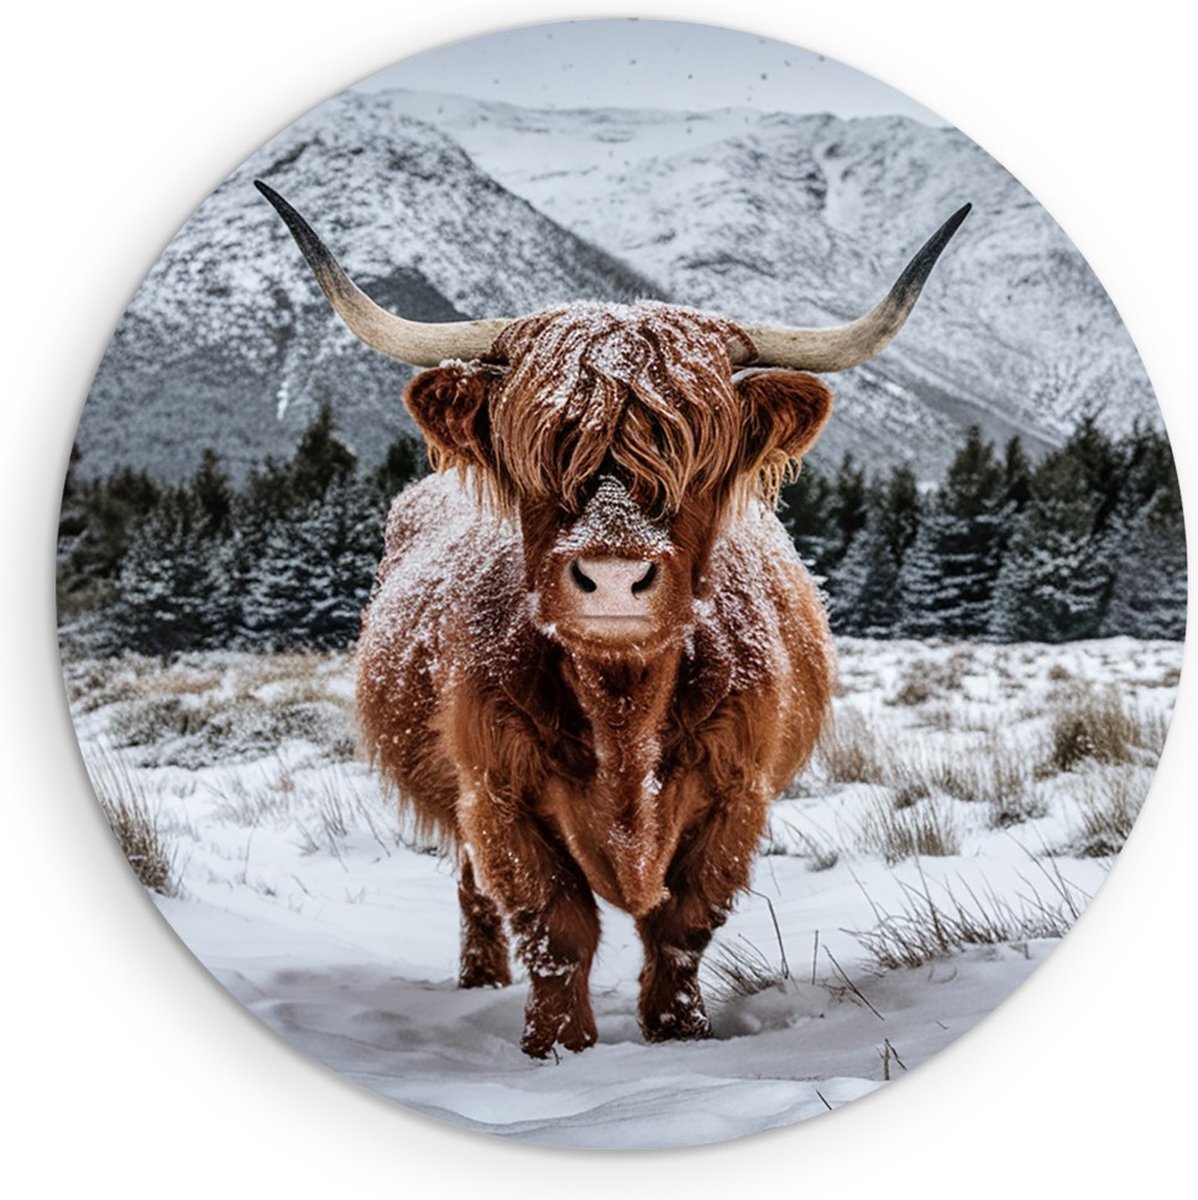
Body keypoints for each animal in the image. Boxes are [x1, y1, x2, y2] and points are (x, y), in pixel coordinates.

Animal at [256, 180, 968, 1057]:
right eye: (537, 455)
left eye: (697, 461)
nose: (615, 578)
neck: (624, 704)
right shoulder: (497, 792)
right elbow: (554, 926)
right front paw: (557, 1048)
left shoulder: (738, 794)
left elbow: (683, 924)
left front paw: (680, 1033)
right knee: (472, 888)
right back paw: (479, 980)